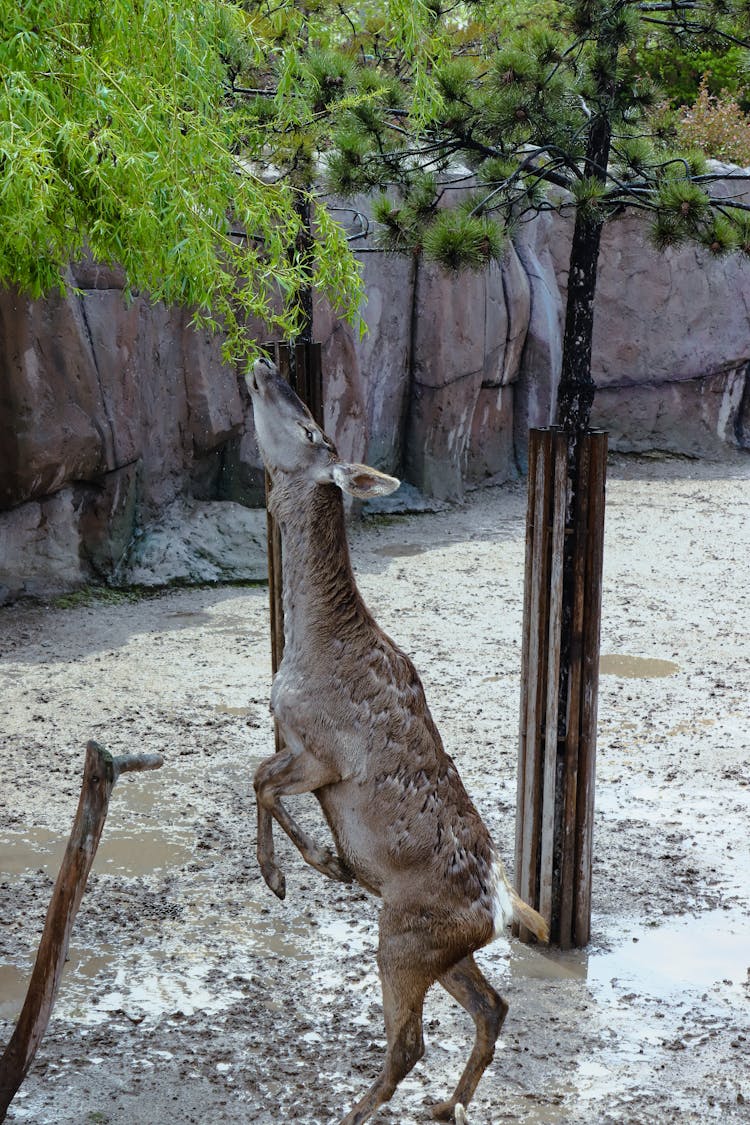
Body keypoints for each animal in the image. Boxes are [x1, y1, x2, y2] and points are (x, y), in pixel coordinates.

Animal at [249, 353, 548, 1125]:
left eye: (312, 430)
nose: (261, 363)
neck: (309, 645)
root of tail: (502, 908)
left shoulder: (323, 754)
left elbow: (260, 780)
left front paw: (306, 870)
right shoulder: (294, 742)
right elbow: (256, 773)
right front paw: (315, 865)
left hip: (405, 939)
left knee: (410, 1043)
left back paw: (355, 1110)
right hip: (440, 949)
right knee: (493, 1007)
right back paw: (446, 1105)